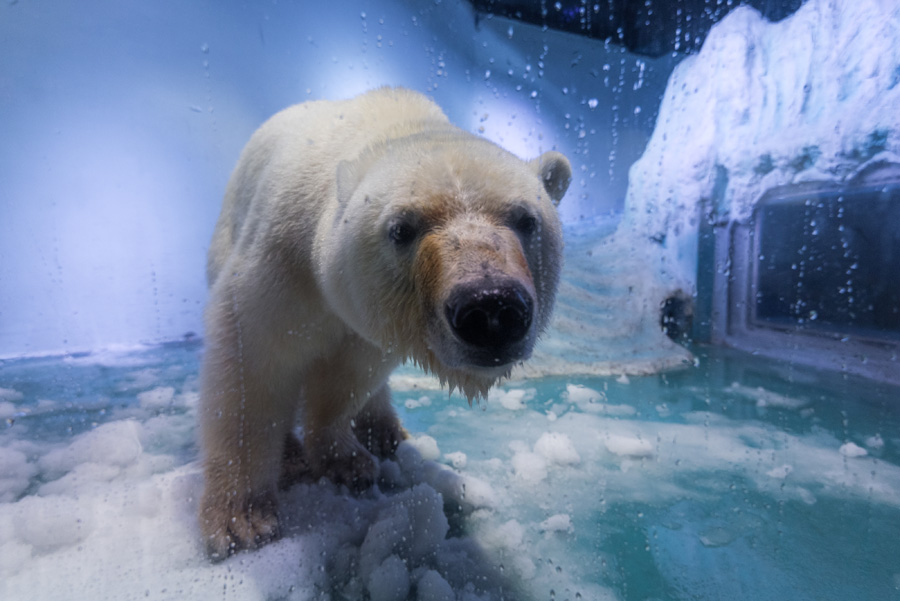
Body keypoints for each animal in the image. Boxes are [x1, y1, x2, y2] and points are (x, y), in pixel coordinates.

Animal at [198, 87, 571, 559]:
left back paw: (386, 431)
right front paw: (241, 519)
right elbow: (256, 361)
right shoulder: (284, 257)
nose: (491, 308)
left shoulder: (368, 320)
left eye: (526, 219)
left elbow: (350, 372)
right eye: (401, 229)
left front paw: (345, 459)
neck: (394, 121)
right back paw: (292, 456)